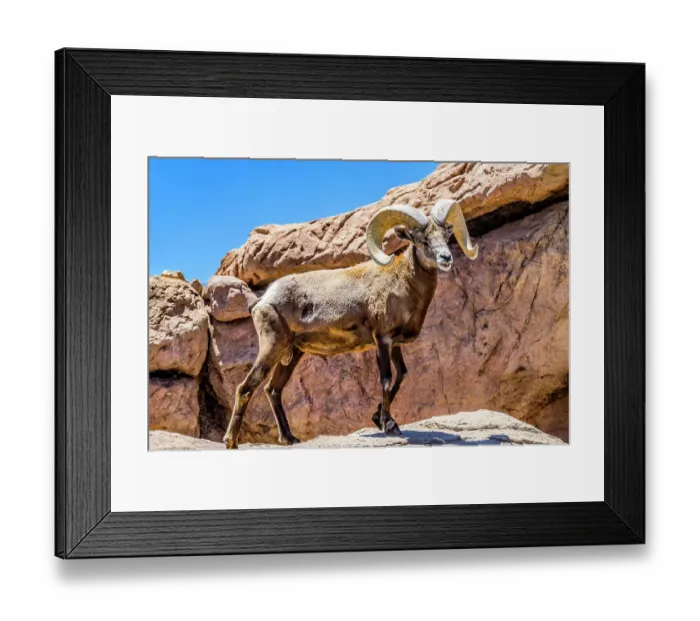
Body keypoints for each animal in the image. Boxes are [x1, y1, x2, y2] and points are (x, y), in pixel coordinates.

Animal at [223, 198, 479, 449]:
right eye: (422, 240)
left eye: (446, 236)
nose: (446, 258)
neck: (403, 285)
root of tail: (263, 300)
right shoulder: (383, 339)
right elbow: (386, 379)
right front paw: (388, 425)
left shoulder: (394, 344)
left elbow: (401, 375)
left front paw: (378, 419)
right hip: (272, 347)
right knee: (246, 387)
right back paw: (231, 442)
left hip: (292, 353)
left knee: (273, 390)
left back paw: (289, 438)